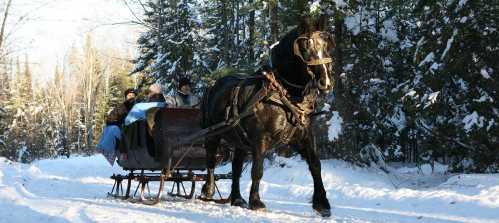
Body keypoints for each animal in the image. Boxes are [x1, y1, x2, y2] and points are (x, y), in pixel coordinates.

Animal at [199, 16, 336, 218]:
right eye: (305, 48)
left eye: (326, 45)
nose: (325, 81)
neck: (284, 93)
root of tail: (213, 84)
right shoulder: (261, 139)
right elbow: (257, 170)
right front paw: (256, 202)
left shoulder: (303, 136)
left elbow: (315, 165)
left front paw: (322, 203)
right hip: (212, 135)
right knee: (210, 160)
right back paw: (207, 191)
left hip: (240, 141)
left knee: (236, 168)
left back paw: (237, 198)